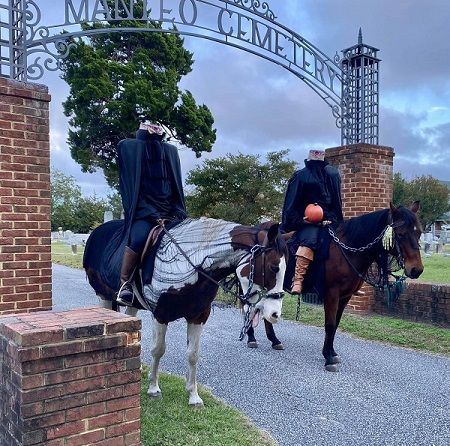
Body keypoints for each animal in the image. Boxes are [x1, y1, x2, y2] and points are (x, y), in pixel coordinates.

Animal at [83, 218, 288, 406]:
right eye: (273, 267)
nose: (275, 314)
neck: (191, 265)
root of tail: (97, 231)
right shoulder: (160, 315)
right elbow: (158, 350)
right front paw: (153, 388)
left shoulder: (198, 317)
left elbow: (193, 354)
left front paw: (193, 396)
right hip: (103, 297)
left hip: (132, 304)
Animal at [244, 204, 424, 372]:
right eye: (400, 234)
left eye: (419, 233)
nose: (417, 269)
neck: (348, 249)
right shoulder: (332, 294)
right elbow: (329, 324)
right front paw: (328, 358)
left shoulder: (345, 296)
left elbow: (336, 324)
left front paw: (331, 352)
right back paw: (251, 338)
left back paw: (274, 340)